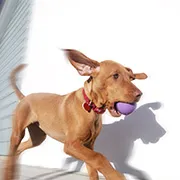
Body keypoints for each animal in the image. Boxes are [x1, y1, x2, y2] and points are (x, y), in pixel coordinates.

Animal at [3, 48, 148, 179]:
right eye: (115, 75)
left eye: (131, 78)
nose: (139, 94)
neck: (91, 108)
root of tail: (24, 97)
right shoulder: (71, 144)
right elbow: (99, 157)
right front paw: (115, 176)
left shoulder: (88, 146)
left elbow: (93, 168)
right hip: (17, 134)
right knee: (12, 151)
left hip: (38, 137)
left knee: (19, 150)